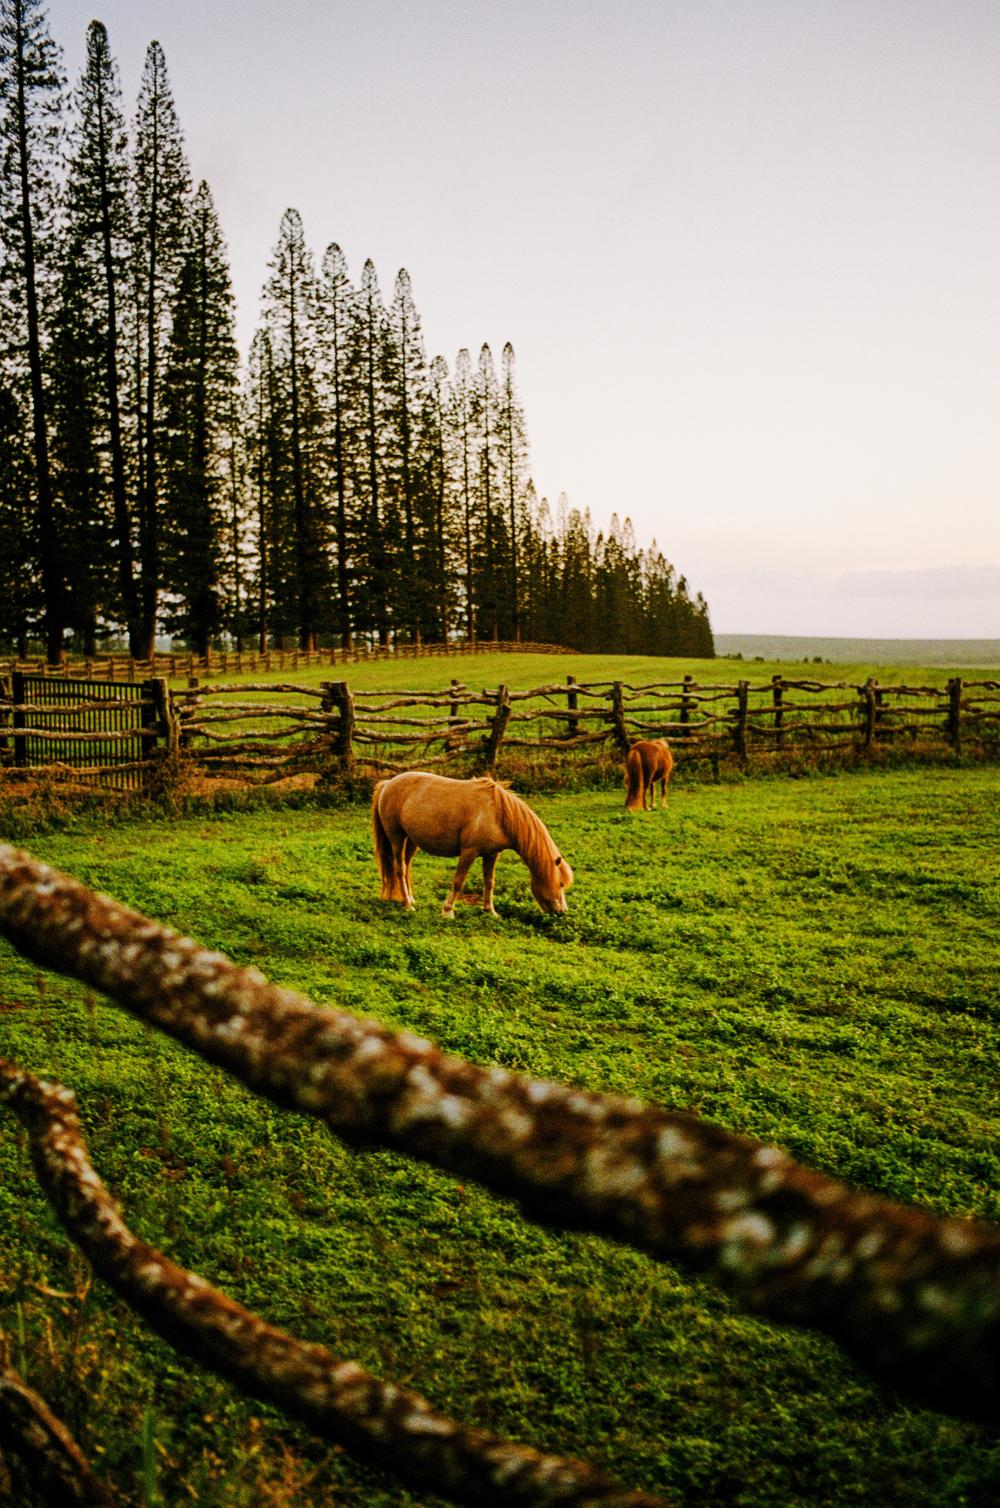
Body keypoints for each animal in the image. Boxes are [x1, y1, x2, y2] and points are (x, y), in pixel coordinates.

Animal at [372, 771, 573, 918]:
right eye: (561, 883)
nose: (562, 912)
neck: (498, 814)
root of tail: (387, 784)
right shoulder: (469, 852)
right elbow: (458, 881)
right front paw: (448, 912)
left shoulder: (491, 854)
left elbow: (489, 882)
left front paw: (490, 912)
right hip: (396, 837)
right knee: (399, 868)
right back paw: (408, 905)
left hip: (412, 841)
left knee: (406, 868)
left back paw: (411, 899)